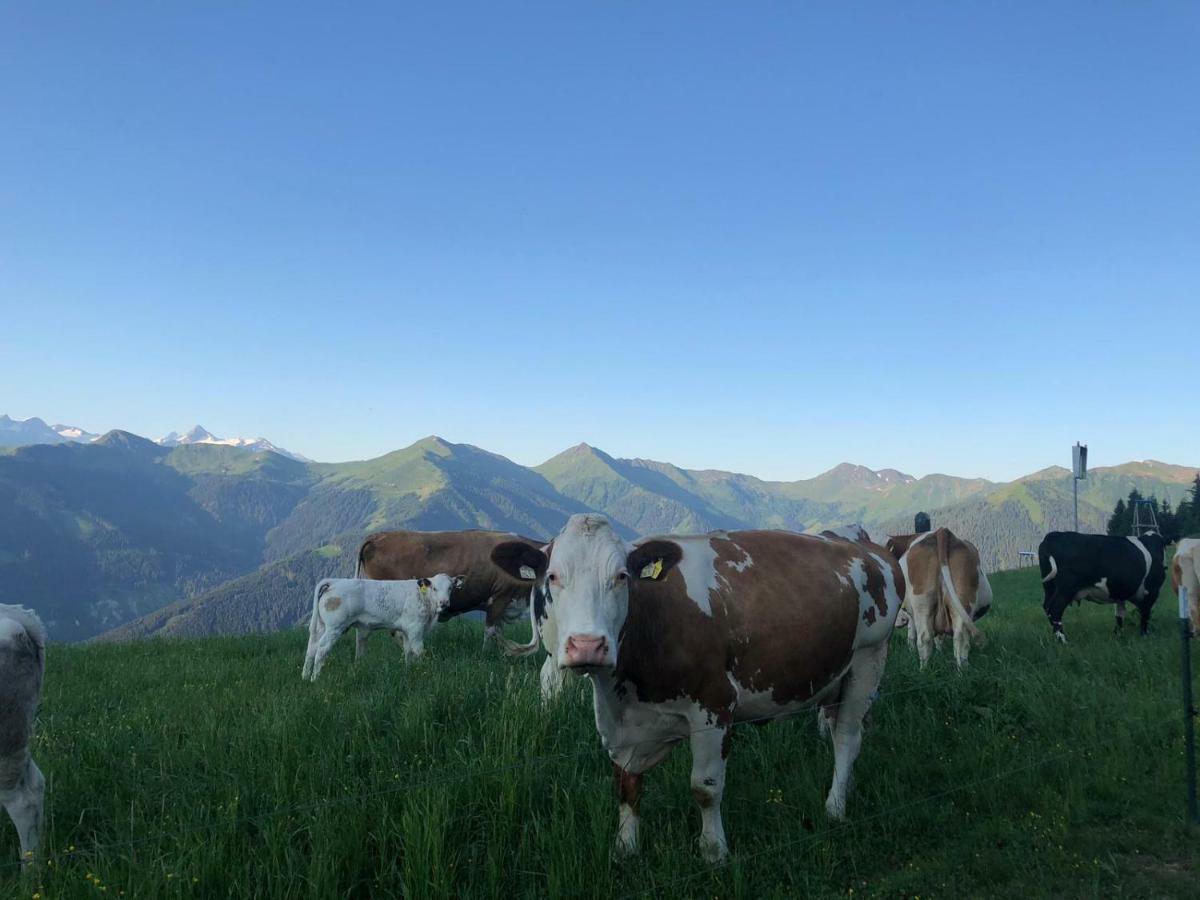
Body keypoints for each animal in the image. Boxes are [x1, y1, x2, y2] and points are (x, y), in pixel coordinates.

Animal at [355, 528, 544, 662]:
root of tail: (377, 536)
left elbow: (498, 632)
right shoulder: (500, 597)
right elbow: (490, 631)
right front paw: (486, 655)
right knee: (397, 632)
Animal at [487, 518, 902, 864]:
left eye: (621, 576)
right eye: (553, 576)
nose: (588, 645)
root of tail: (865, 546)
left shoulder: (714, 706)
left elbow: (705, 788)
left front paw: (714, 851)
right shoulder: (620, 722)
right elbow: (626, 786)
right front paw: (625, 847)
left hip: (868, 660)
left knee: (847, 737)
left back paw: (835, 807)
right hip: (835, 676)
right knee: (835, 726)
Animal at [883, 528, 993, 672]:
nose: (901, 620)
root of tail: (942, 531)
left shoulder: (912, 614)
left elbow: (912, 633)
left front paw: (912, 651)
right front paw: (940, 652)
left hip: (921, 603)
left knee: (924, 638)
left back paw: (923, 670)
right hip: (962, 600)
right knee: (960, 637)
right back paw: (963, 670)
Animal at [1036, 532, 1166, 643]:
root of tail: (1052, 536)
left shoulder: (1119, 593)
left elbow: (1119, 614)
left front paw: (1118, 635)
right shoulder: (1152, 591)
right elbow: (1145, 614)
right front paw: (1144, 635)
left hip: (1050, 588)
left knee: (1047, 607)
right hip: (1066, 589)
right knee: (1055, 610)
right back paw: (1063, 641)